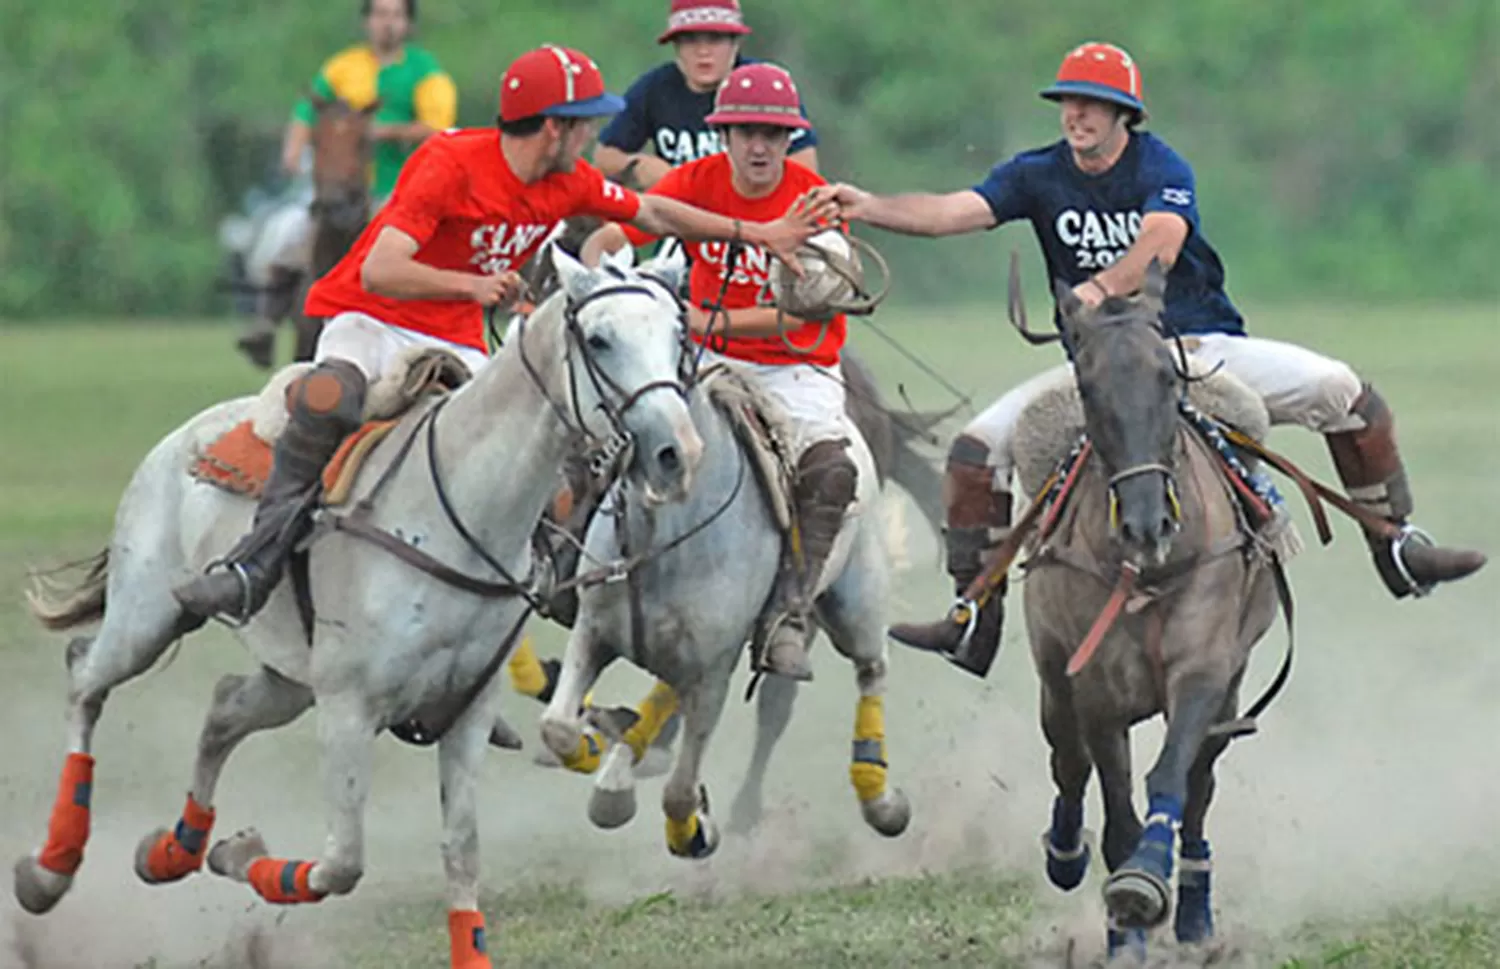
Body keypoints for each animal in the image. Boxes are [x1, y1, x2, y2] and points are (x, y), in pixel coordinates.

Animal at [16, 252, 696, 969]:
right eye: (599, 339)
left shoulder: (467, 712)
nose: (676, 453)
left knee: (223, 707)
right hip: (145, 617)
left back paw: (172, 852)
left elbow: (461, 850)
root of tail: (182, 436)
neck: (463, 507)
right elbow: (342, 862)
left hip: (289, 675)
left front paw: (230, 849)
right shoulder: (349, 706)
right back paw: (49, 870)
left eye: (678, 337)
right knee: (84, 676)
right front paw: (242, 851)